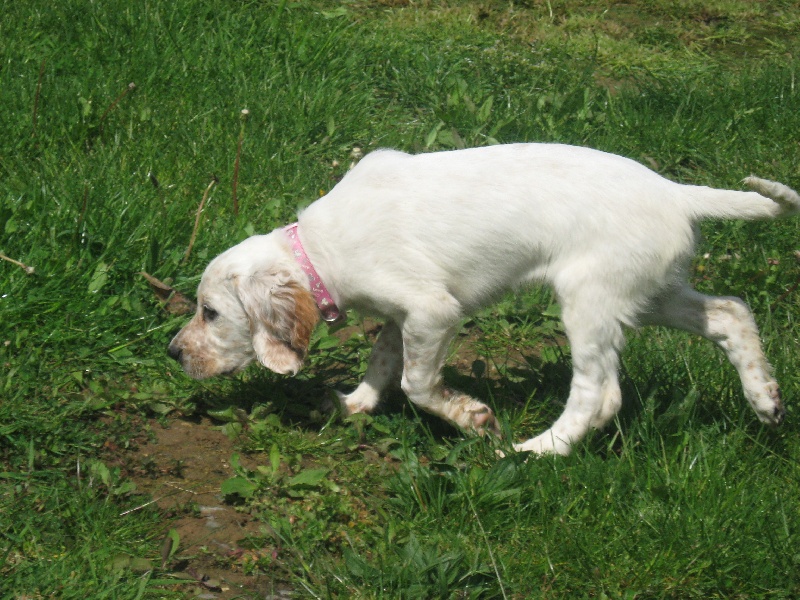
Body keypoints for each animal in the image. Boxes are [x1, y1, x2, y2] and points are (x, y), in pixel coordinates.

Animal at [166, 144, 796, 454]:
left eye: (210, 313)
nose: (173, 353)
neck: (320, 249)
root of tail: (674, 191)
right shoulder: (402, 316)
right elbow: (383, 361)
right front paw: (354, 404)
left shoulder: (432, 311)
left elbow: (417, 383)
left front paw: (470, 418)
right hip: (649, 291)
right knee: (731, 312)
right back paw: (765, 399)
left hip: (588, 298)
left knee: (599, 395)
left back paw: (535, 450)